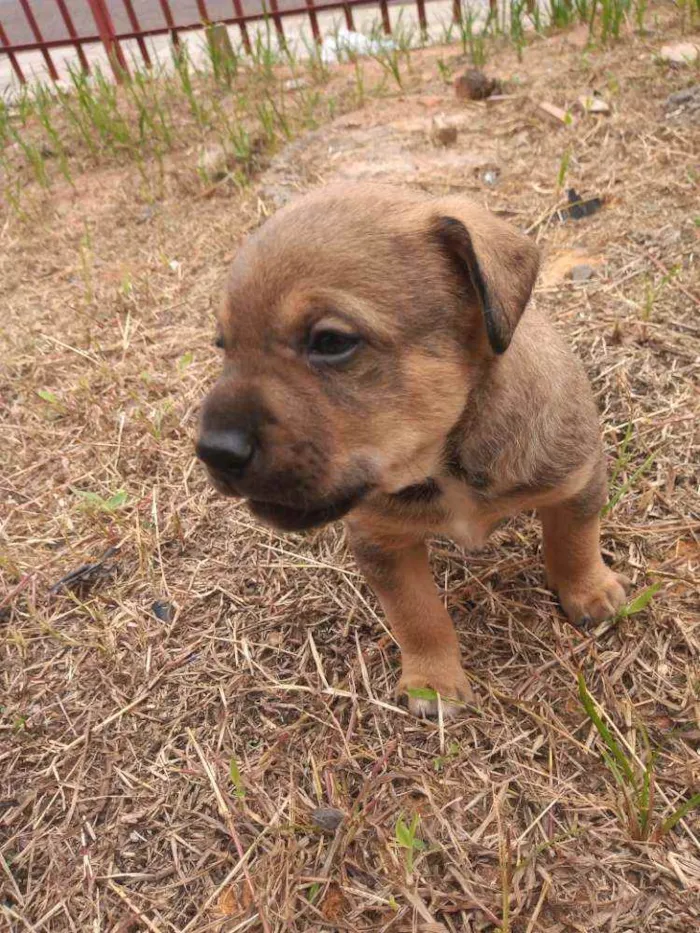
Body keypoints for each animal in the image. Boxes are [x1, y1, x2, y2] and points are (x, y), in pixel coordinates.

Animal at [196, 186, 628, 716]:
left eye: (331, 341)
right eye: (223, 346)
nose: (214, 451)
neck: (444, 461)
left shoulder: (576, 479)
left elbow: (574, 541)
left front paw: (590, 591)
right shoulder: (382, 542)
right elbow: (417, 615)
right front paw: (433, 682)